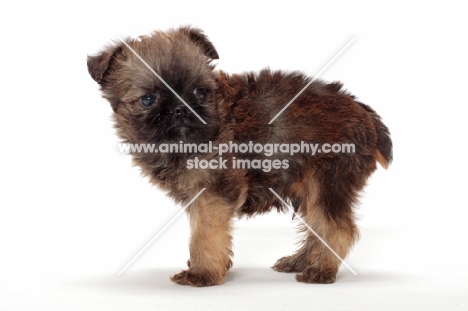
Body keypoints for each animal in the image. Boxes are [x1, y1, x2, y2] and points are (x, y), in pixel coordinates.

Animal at [87, 26, 392, 288]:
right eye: (148, 99)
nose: (181, 108)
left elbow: (205, 234)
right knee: (318, 228)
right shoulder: (198, 197)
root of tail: (364, 113)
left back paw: (321, 270)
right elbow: (201, 231)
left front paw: (203, 273)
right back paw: (301, 261)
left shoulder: (214, 193)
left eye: (199, 92)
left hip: (326, 182)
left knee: (335, 228)